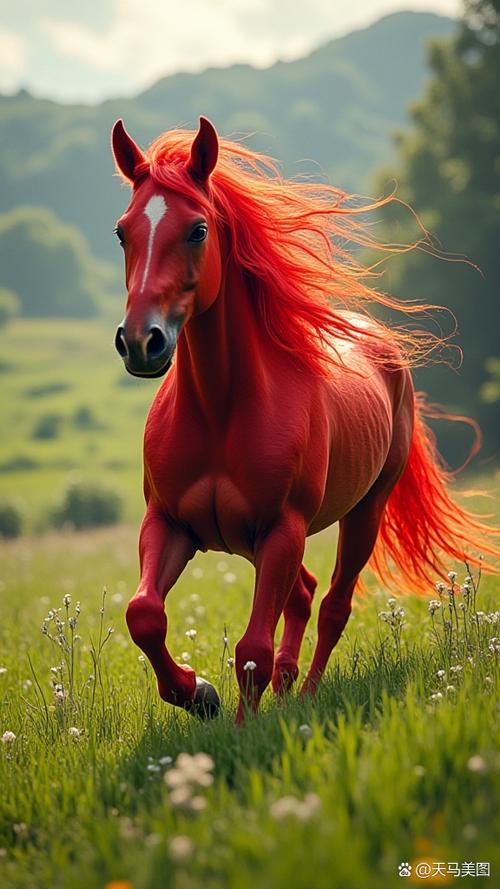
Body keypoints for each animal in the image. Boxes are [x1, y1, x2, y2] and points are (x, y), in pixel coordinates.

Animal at [110, 116, 498, 724]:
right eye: (123, 232)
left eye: (197, 230)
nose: (140, 342)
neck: (221, 411)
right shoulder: (169, 523)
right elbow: (144, 614)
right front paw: (199, 694)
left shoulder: (282, 529)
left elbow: (252, 648)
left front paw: (241, 728)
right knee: (305, 595)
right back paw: (289, 688)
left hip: (363, 512)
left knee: (334, 603)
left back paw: (309, 694)